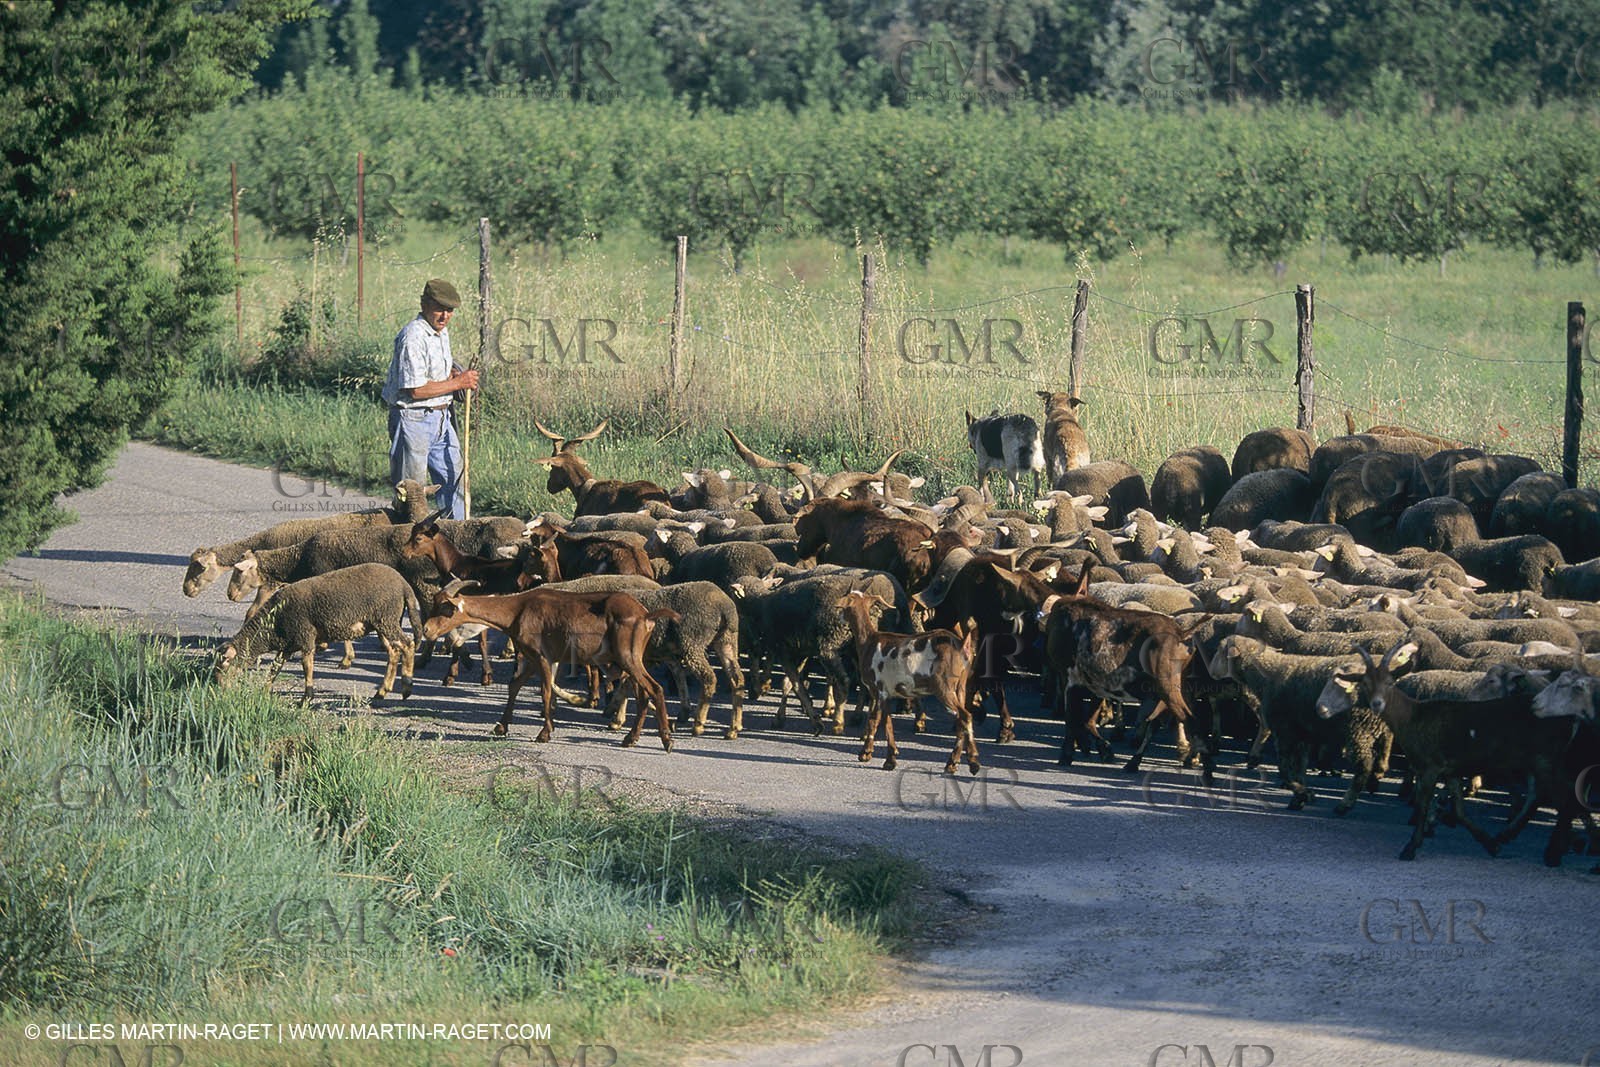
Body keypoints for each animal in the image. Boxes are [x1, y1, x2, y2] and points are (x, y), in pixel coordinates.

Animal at [214, 563, 421, 703]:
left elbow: (307, 667)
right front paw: (264, 691)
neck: (272, 625)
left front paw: (306, 698)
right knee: (394, 651)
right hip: (384, 622)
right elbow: (275, 668)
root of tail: (403, 584)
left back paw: (406, 687)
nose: (219, 690)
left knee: (407, 644)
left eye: (225, 664)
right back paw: (382, 692)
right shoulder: (287, 645)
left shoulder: (305, 636)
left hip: (387, 618)